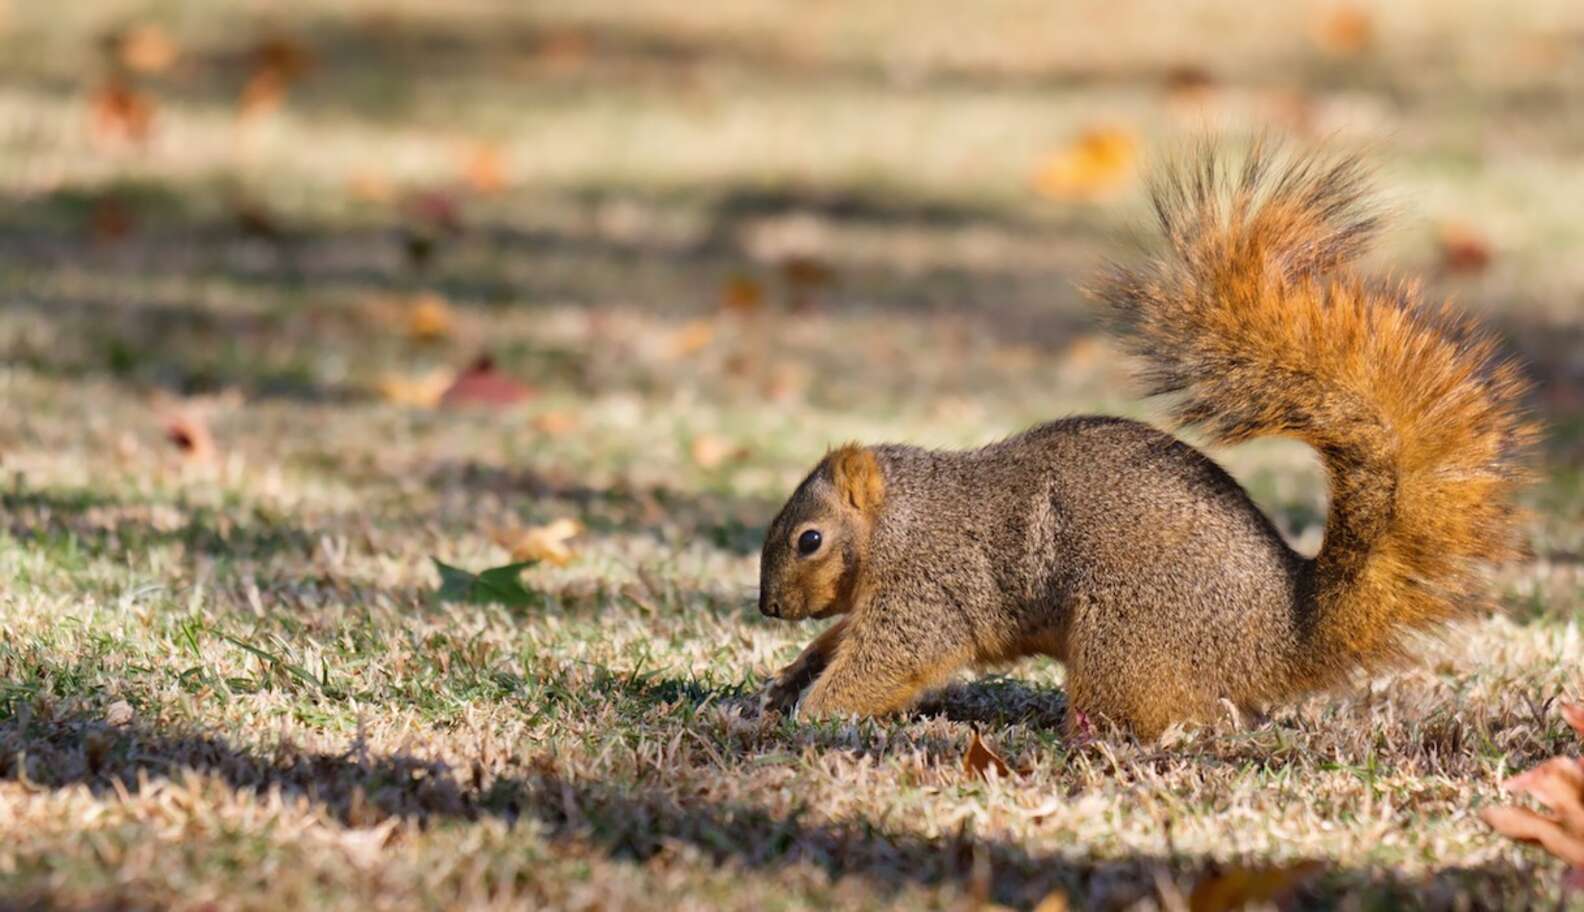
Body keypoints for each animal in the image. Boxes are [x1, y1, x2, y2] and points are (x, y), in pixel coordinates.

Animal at [753, 142, 1533, 741]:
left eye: (810, 539)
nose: (768, 610)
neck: (903, 520)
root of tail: (1284, 639)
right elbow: (841, 642)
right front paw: (790, 678)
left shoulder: (931, 587)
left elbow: (894, 657)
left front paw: (814, 714)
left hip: (1125, 636)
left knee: (1175, 714)